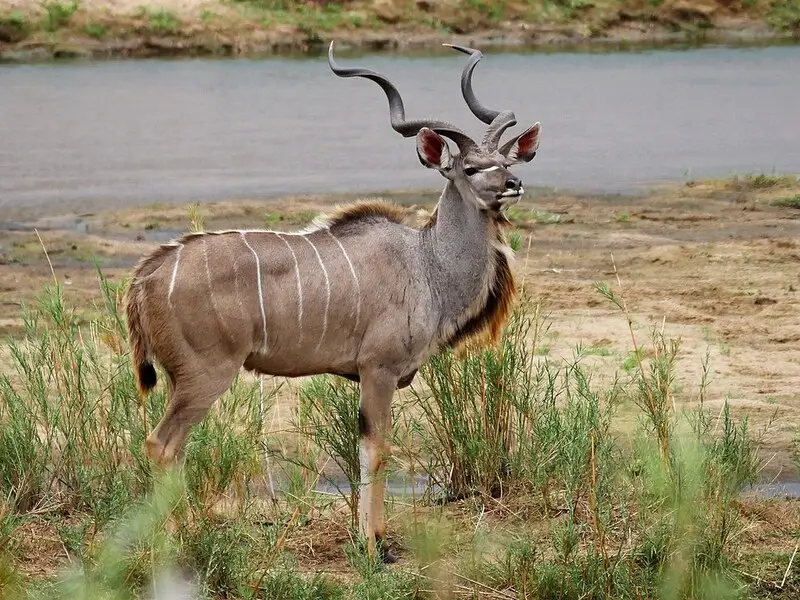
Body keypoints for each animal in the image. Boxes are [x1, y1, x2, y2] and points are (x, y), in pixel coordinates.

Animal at [125, 42, 540, 564]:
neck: (426, 262)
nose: (512, 185)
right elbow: (377, 450)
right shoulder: (378, 370)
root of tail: (147, 275)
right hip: (205, 375)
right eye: (469, 168)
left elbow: (367, 448)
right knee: (161, 445)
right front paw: (374, 545)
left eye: (508, 161)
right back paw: (177, 542)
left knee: (173, 448)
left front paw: (373, 537)